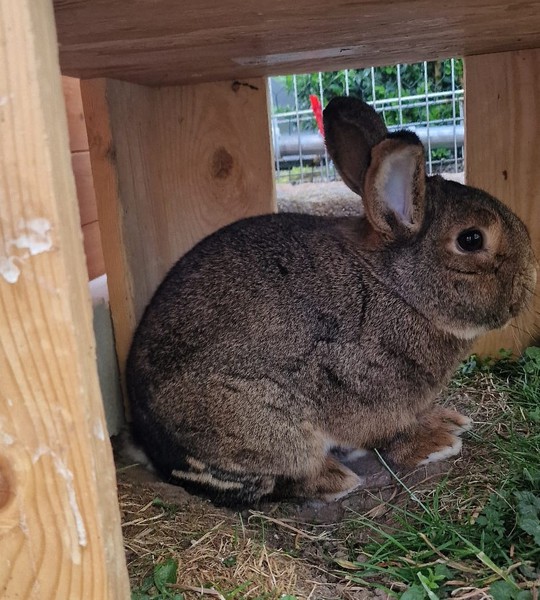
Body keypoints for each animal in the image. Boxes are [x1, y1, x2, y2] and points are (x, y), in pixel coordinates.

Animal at [126, 96, 537, 508]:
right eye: (471, 239)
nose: (529, 279)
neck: (398, 289)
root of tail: (154, 447)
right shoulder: (369, 393)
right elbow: (394, 436)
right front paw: (437, 443)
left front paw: (447, 421)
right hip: (264, 424)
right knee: (277, 480)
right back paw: (335, 480)